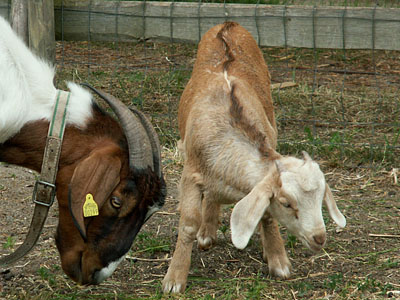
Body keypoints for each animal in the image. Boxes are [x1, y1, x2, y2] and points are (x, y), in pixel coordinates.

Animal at [162, 22, 346, 294]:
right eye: (287, 203)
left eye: (321, 197)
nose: (319, 238)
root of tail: (228, 25)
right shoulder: (190, 175)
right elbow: (188, 224)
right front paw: (174, 278)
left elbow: (266, 216)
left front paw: (278, 260)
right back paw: (206, 232)